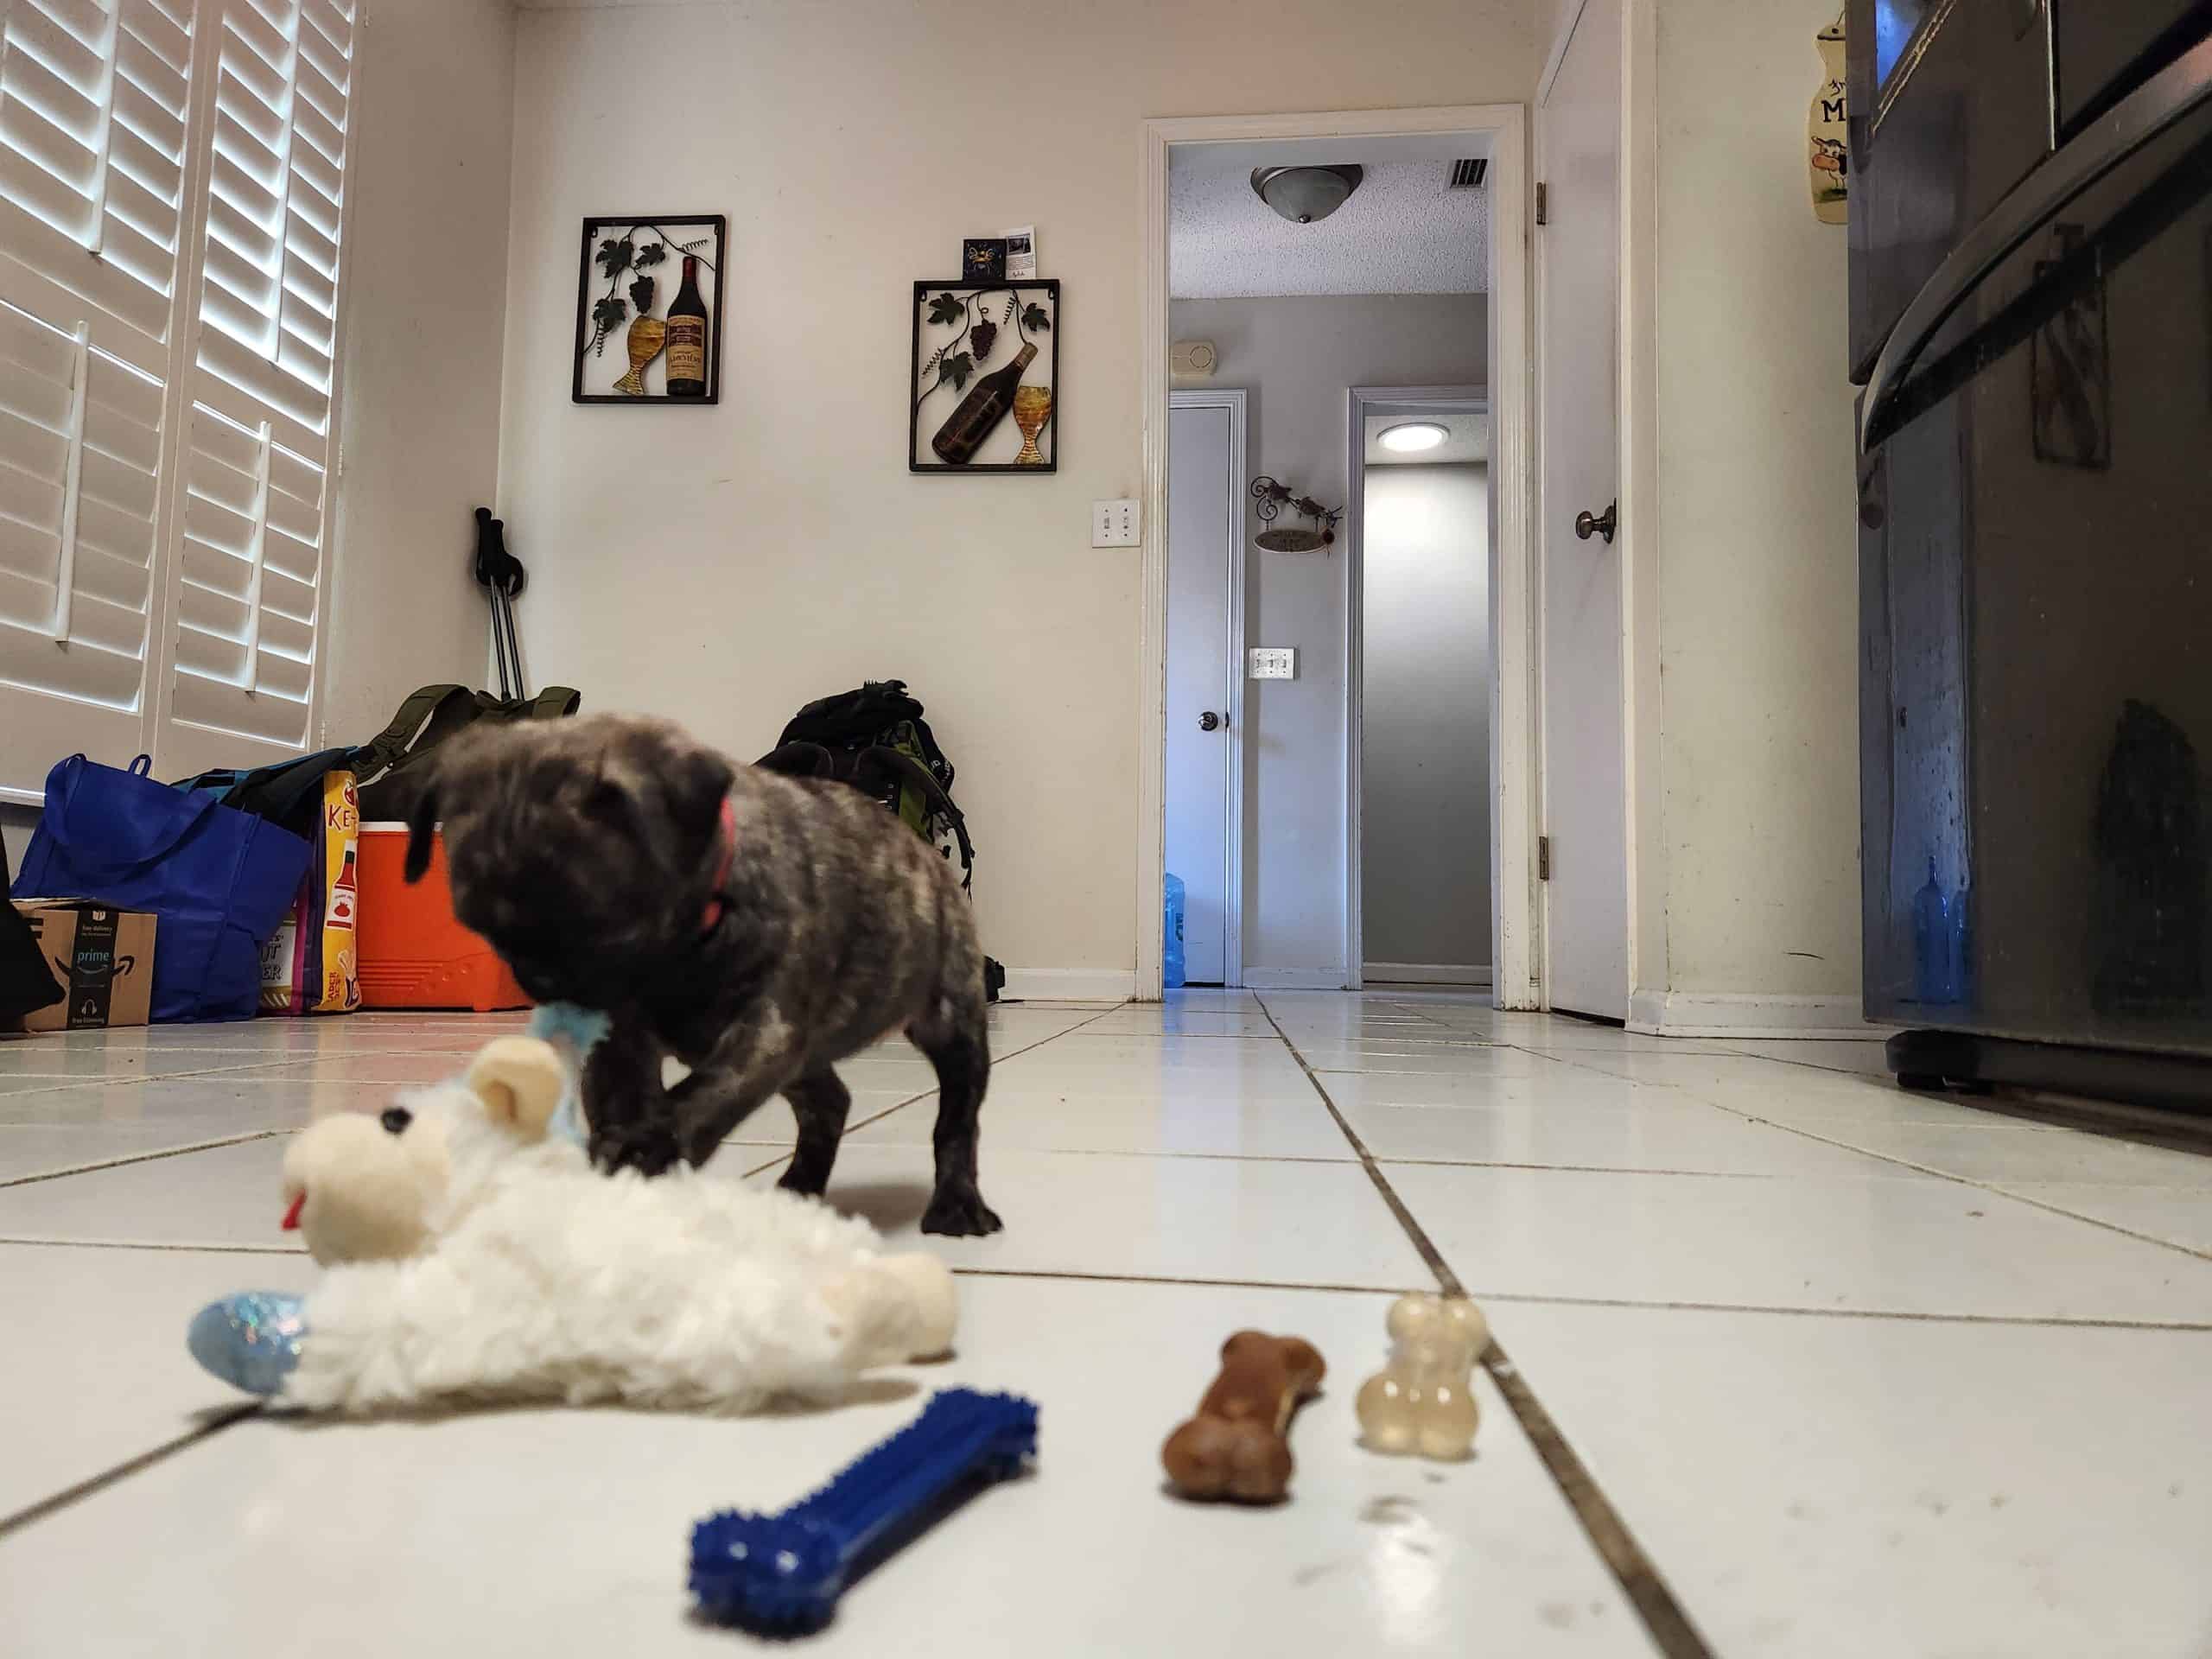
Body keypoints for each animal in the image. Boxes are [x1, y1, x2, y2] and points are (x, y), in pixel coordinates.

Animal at [401, 714, 1000, 1236]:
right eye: (486, 932)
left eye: (602, 924)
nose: (542, 982)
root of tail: (927, 856)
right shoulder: (627, 1042)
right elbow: (620, 1095)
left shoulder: (765, 1029)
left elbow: (705, 1094)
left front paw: (647, 1146)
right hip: (806, 1059)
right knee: (829, 1102)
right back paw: (799, 1188)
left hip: (951, 1025)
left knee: (957, 1120)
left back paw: (957, 1205)